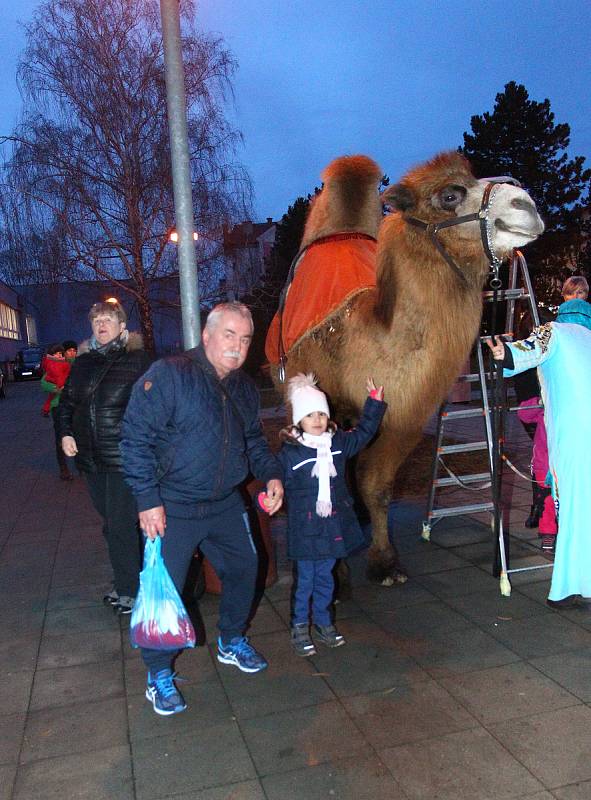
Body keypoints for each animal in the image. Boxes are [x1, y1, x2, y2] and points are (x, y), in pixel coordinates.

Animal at [266, 153, 544, 584]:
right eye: (449, 195)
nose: (526, 206)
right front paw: (337, 571)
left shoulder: (406, 415)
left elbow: (376, 483)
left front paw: (384, 563)